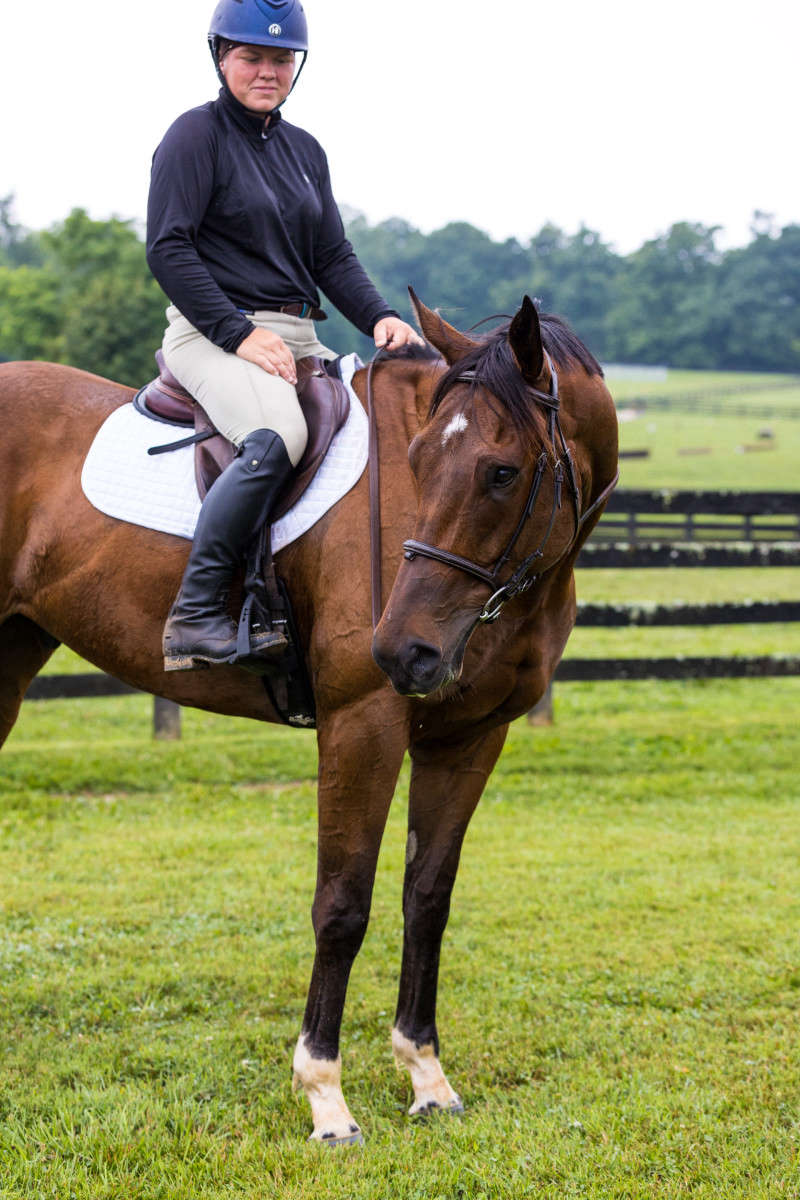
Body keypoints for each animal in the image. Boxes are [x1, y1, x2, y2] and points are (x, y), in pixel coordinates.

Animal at [0, 290, 618, 1142]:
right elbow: (342, 905)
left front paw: (427, 1078)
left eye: (501, 471)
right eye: (416, 462)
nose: (403, 650)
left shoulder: (469, 738)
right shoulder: (364, 724)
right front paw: (326, 1097)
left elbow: (427, 899)